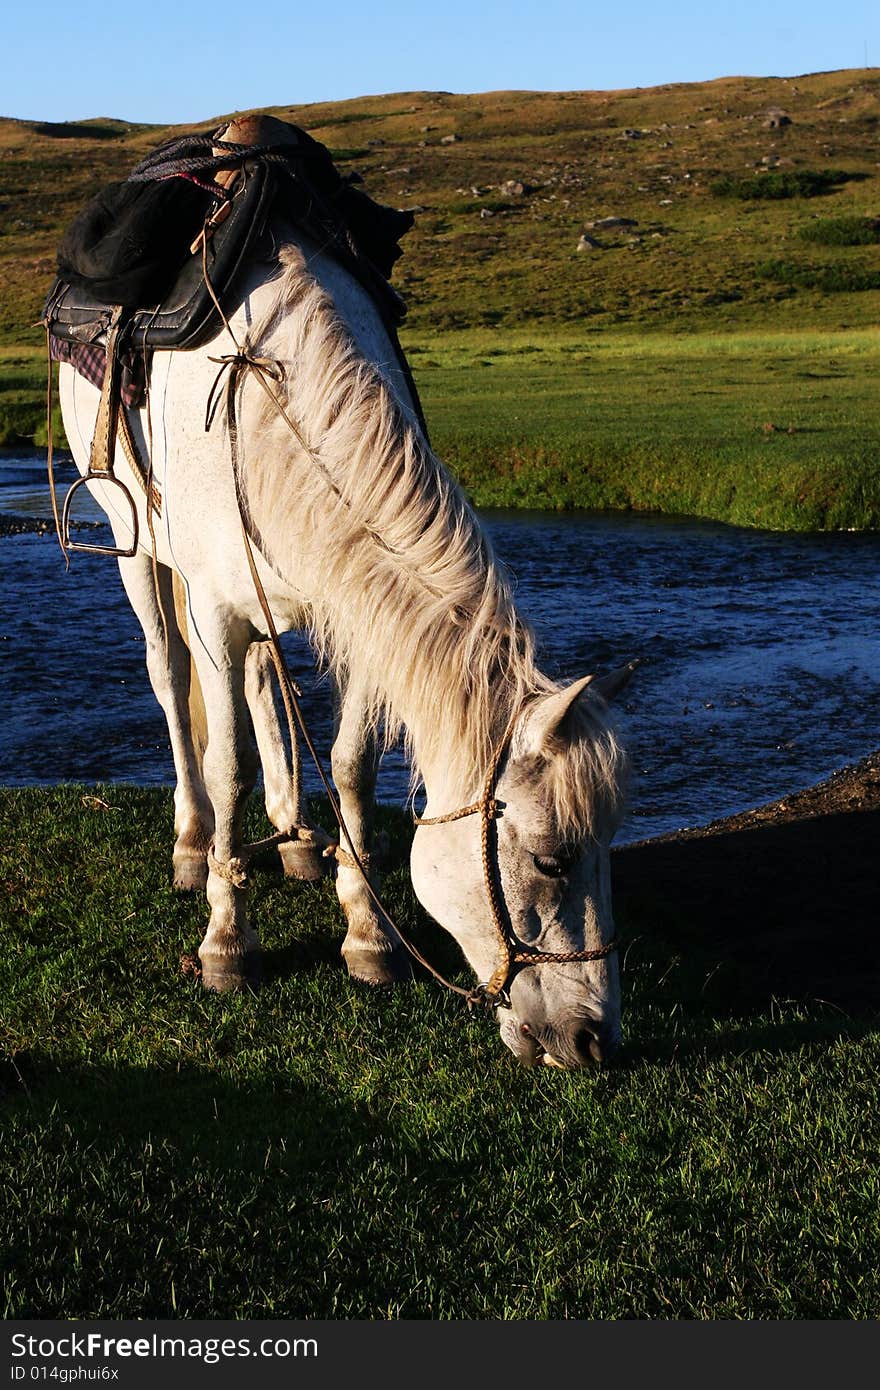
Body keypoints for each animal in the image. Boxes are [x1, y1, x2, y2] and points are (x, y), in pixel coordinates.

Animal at [60, 233, 631, 1067]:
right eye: (551, 860)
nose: (593, 1040)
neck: (272, 407)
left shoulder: (360, 621)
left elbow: (353, 766)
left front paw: (368, 935)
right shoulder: (213, 613)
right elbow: (227, 765)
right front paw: (226, 941)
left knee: (266, 682)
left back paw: (296, 836)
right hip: (135, 546)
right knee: (169, 680)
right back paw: (194, 843)